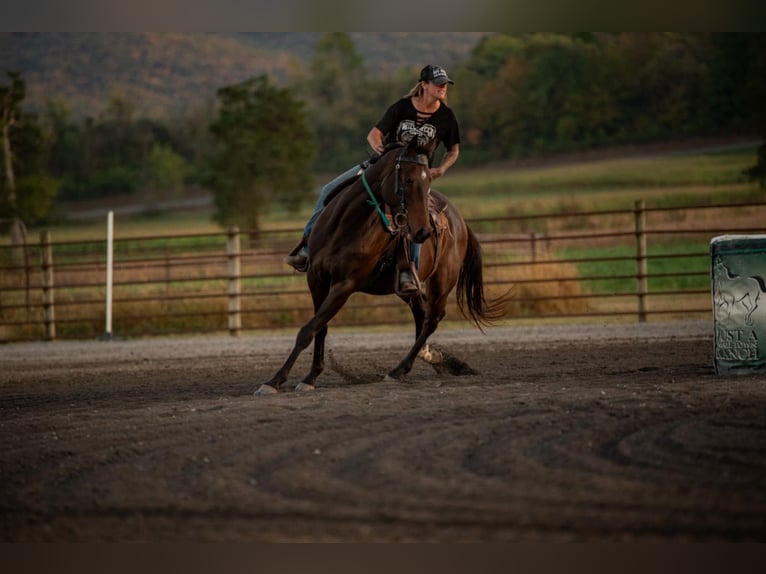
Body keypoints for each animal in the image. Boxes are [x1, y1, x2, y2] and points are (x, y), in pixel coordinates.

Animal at [256, 139, 508, 395]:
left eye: (428, 180)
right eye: (408, 179)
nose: (423, 231)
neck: (346, 226)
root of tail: (461, 223)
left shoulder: (344, 286)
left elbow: (308, 329)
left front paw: (274, 381)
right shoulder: (317, 280)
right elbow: (319, 326)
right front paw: (310, 377)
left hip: (442, 281)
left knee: (433, 317)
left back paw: (399, 370)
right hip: (406, 288)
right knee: (422, 312)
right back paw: (429, 358)